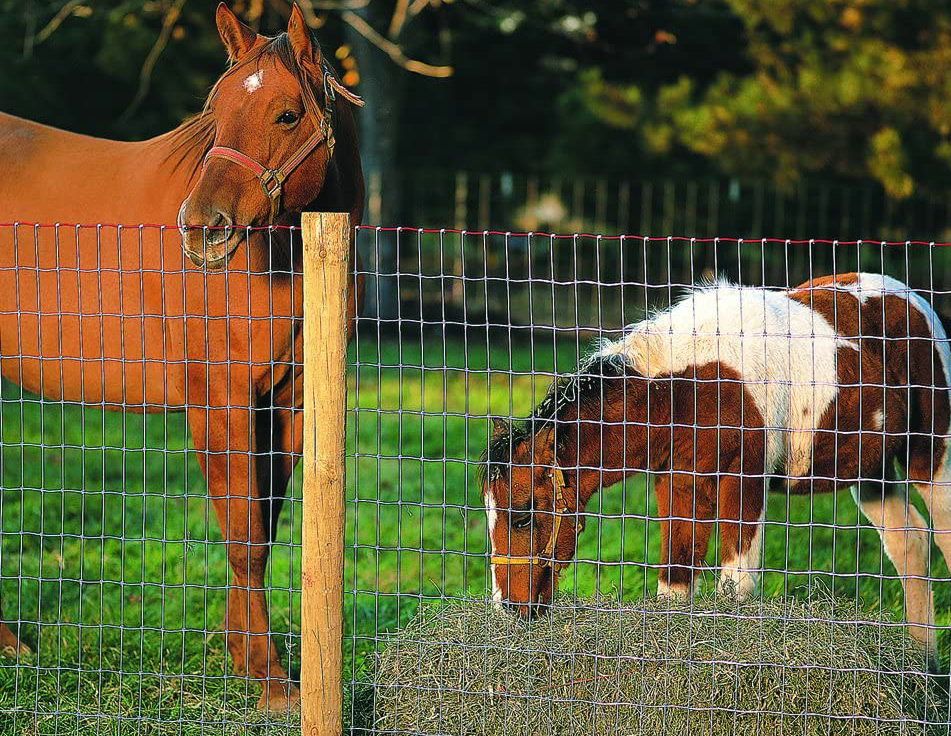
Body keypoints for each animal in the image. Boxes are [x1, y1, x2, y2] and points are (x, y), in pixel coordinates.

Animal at [0, 2, 362, 712]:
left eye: (287, 114)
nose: (202, 228)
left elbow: (263, 529)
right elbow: (244, 534)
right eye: (214, 110)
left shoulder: (285, 402)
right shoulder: (219, 401)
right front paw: (270, 678)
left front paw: (244, 659)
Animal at [488, 274, 951, 668]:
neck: (687, 387)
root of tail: (915, 301)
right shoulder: (677, 487)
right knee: (909, 541)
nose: (508, 607)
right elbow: (675, 585)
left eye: (524, 515)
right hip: (870, 472)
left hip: (930, 456)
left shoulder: (744, 485)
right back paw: (921, 663)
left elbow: (736, 588)